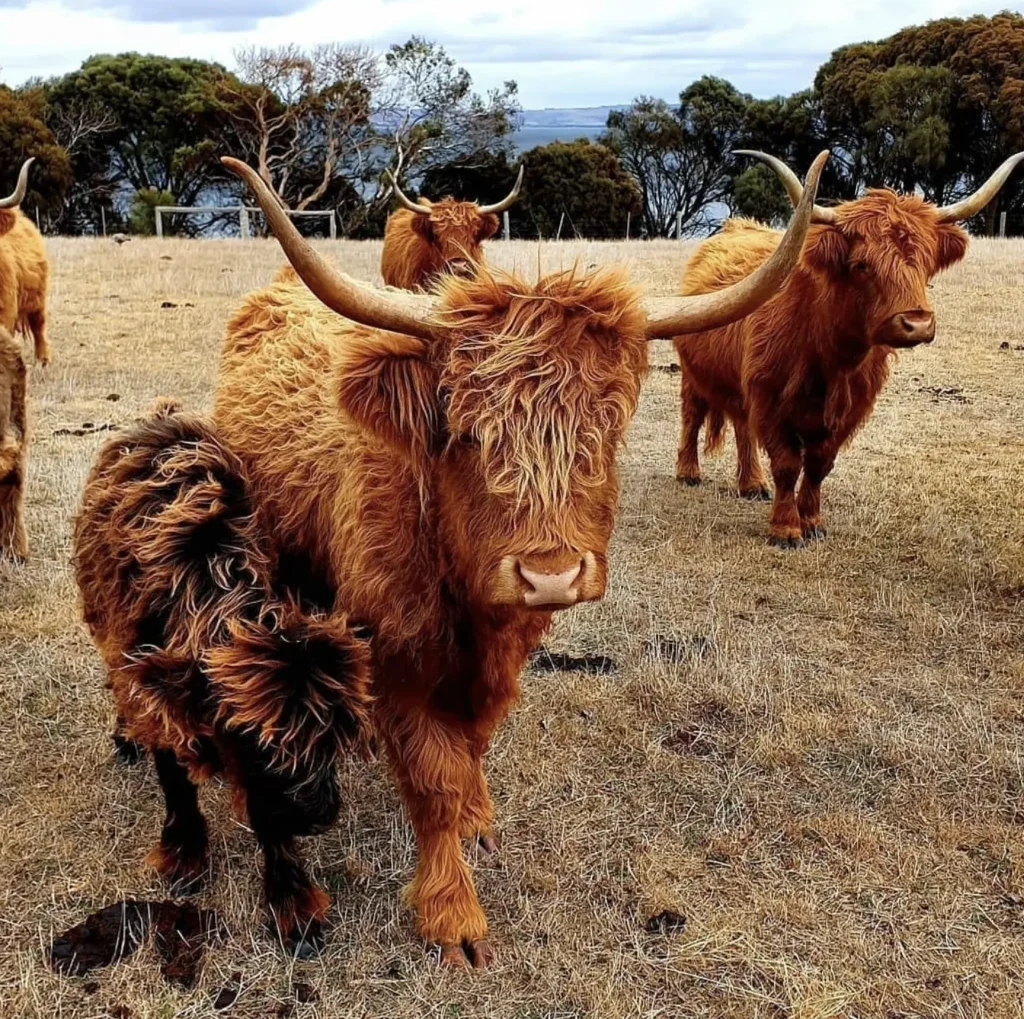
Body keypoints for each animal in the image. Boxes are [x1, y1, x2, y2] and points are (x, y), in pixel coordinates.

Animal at [74, 403, 374, 954]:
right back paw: (124, 736)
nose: (320, 811)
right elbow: (175, 778)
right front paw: (185, 854)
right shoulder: (163, 697)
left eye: (332, 737)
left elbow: (267, 812)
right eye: (262, 741)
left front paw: (292, 904)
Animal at [671, 149, 1024, 548]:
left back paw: (752, 483)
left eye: (926, 262)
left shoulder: (848, 409)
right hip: (694, 374)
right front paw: (786, 529)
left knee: (743, 426)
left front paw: (812, 521)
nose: (917, 323)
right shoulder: (770, 397)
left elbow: (819, 465)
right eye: (861, 265)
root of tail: (737, 226)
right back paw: (688, 471)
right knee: (693, 415)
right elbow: (787, 464)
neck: (830, 356)